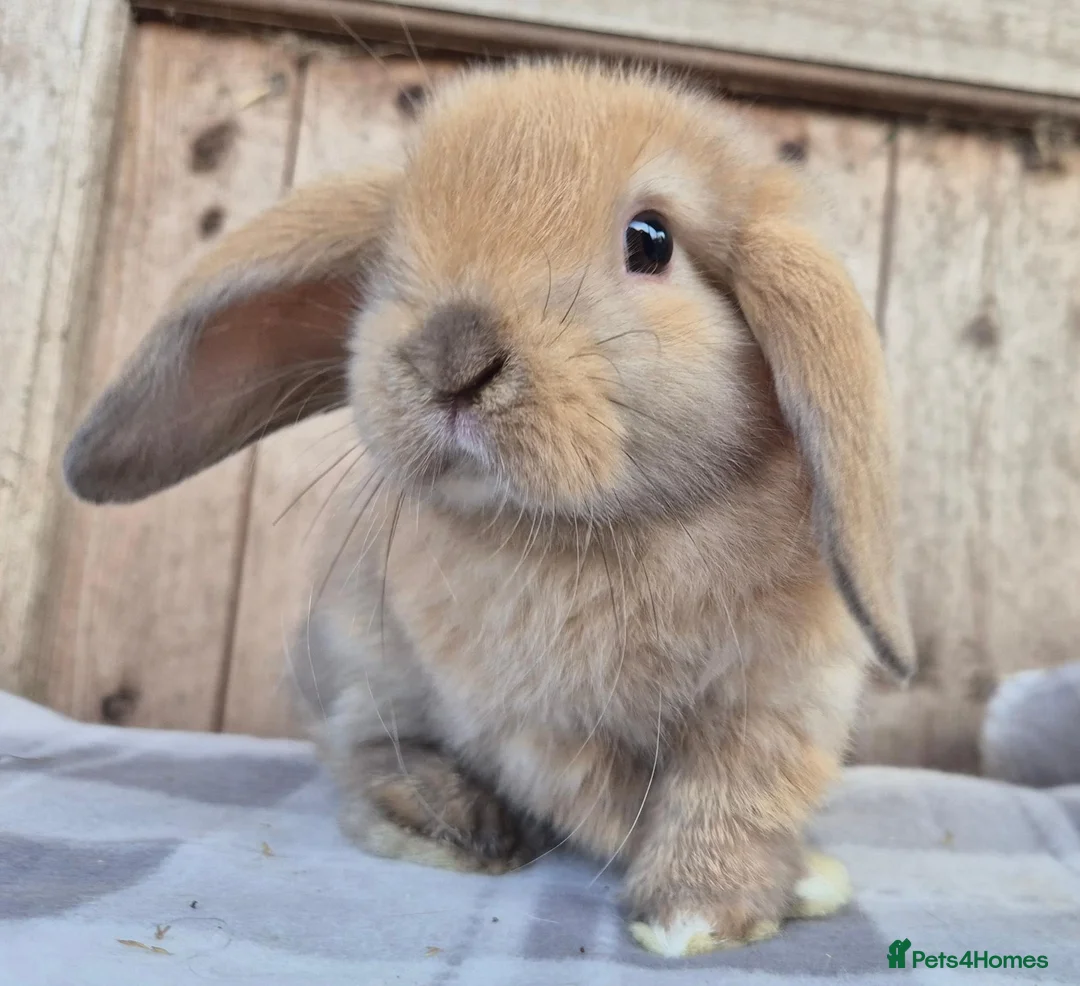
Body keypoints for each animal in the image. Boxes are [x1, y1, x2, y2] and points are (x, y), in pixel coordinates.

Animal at [63, 60, 914, 957]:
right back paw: (449, 818)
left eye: (650, 240)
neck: (605, 528)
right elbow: (603, 800)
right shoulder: (524, 722)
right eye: (389, 254)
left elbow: (734, 796)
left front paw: (706, 911)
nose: (453, 355)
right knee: (358, 747)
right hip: (353, 657)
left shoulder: (779, 705)